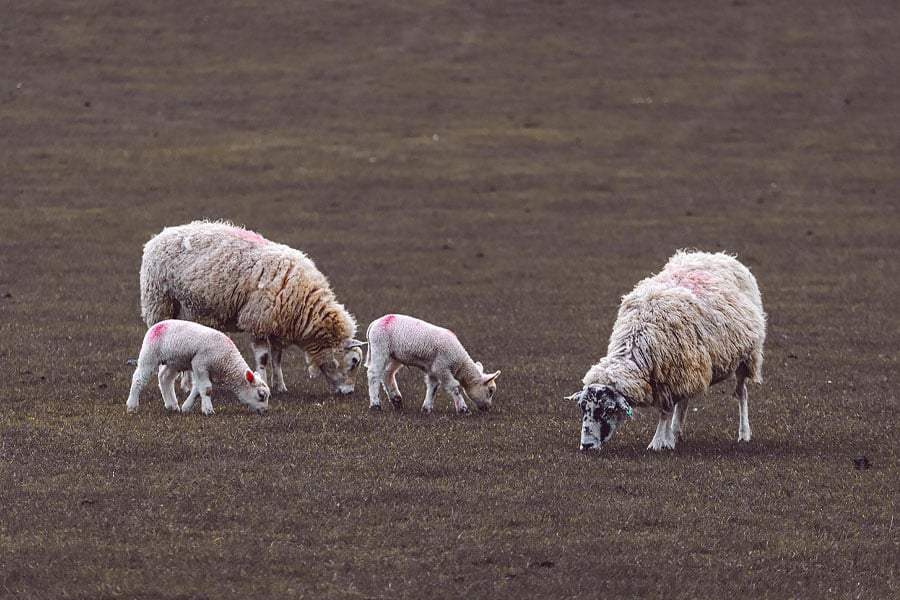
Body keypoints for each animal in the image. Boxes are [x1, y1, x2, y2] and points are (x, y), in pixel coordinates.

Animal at [126, 319, 270, 415]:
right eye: (261, 395)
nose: (265, 411)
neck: (227, 362)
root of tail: (157, 325)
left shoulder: (205, 370)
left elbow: (197, 389)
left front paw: (186, 407)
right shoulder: (200, 364)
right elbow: (206, 389)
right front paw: (208, 410)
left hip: (174, 362)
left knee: (165, 378)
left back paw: (172, 405)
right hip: (150, 354)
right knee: (138, 379)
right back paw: (132, 406)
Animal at [139, 220, 366, 396]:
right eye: (354, 361)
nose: (349, 393)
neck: (304, 302)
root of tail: (158, 236)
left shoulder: (277, 324)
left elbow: (276, 358)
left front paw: (280, 386)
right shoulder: (259, 320)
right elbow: (263, 358)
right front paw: (266, 383)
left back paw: (187, 384)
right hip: (160, 303)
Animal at [365, 314, 501, 414]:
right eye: (490, 391)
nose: (488, 408)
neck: (460, 363)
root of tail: (374, 323)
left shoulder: (433, 370)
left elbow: (433, 387)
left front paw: (427, 408)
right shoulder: (442, 368)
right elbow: (455, 387)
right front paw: (463, 409)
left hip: (394, 355)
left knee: (387, 373)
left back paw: (397, 400)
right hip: (380, 347)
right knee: (374, 374)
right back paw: (375, 405)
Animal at [565, 250, 766, 451]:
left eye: (609, 409)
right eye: (582, 408)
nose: (587, 445)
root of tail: (717, 255)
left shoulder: (672, 377)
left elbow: (665, 411)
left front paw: (657, 442)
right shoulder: (674, 375)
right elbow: (670, 408)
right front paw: (667, 439)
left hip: (747, 357)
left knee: (741, 393)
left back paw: (744, 433)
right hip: (691, 367)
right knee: (684, 401)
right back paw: (676, 432)